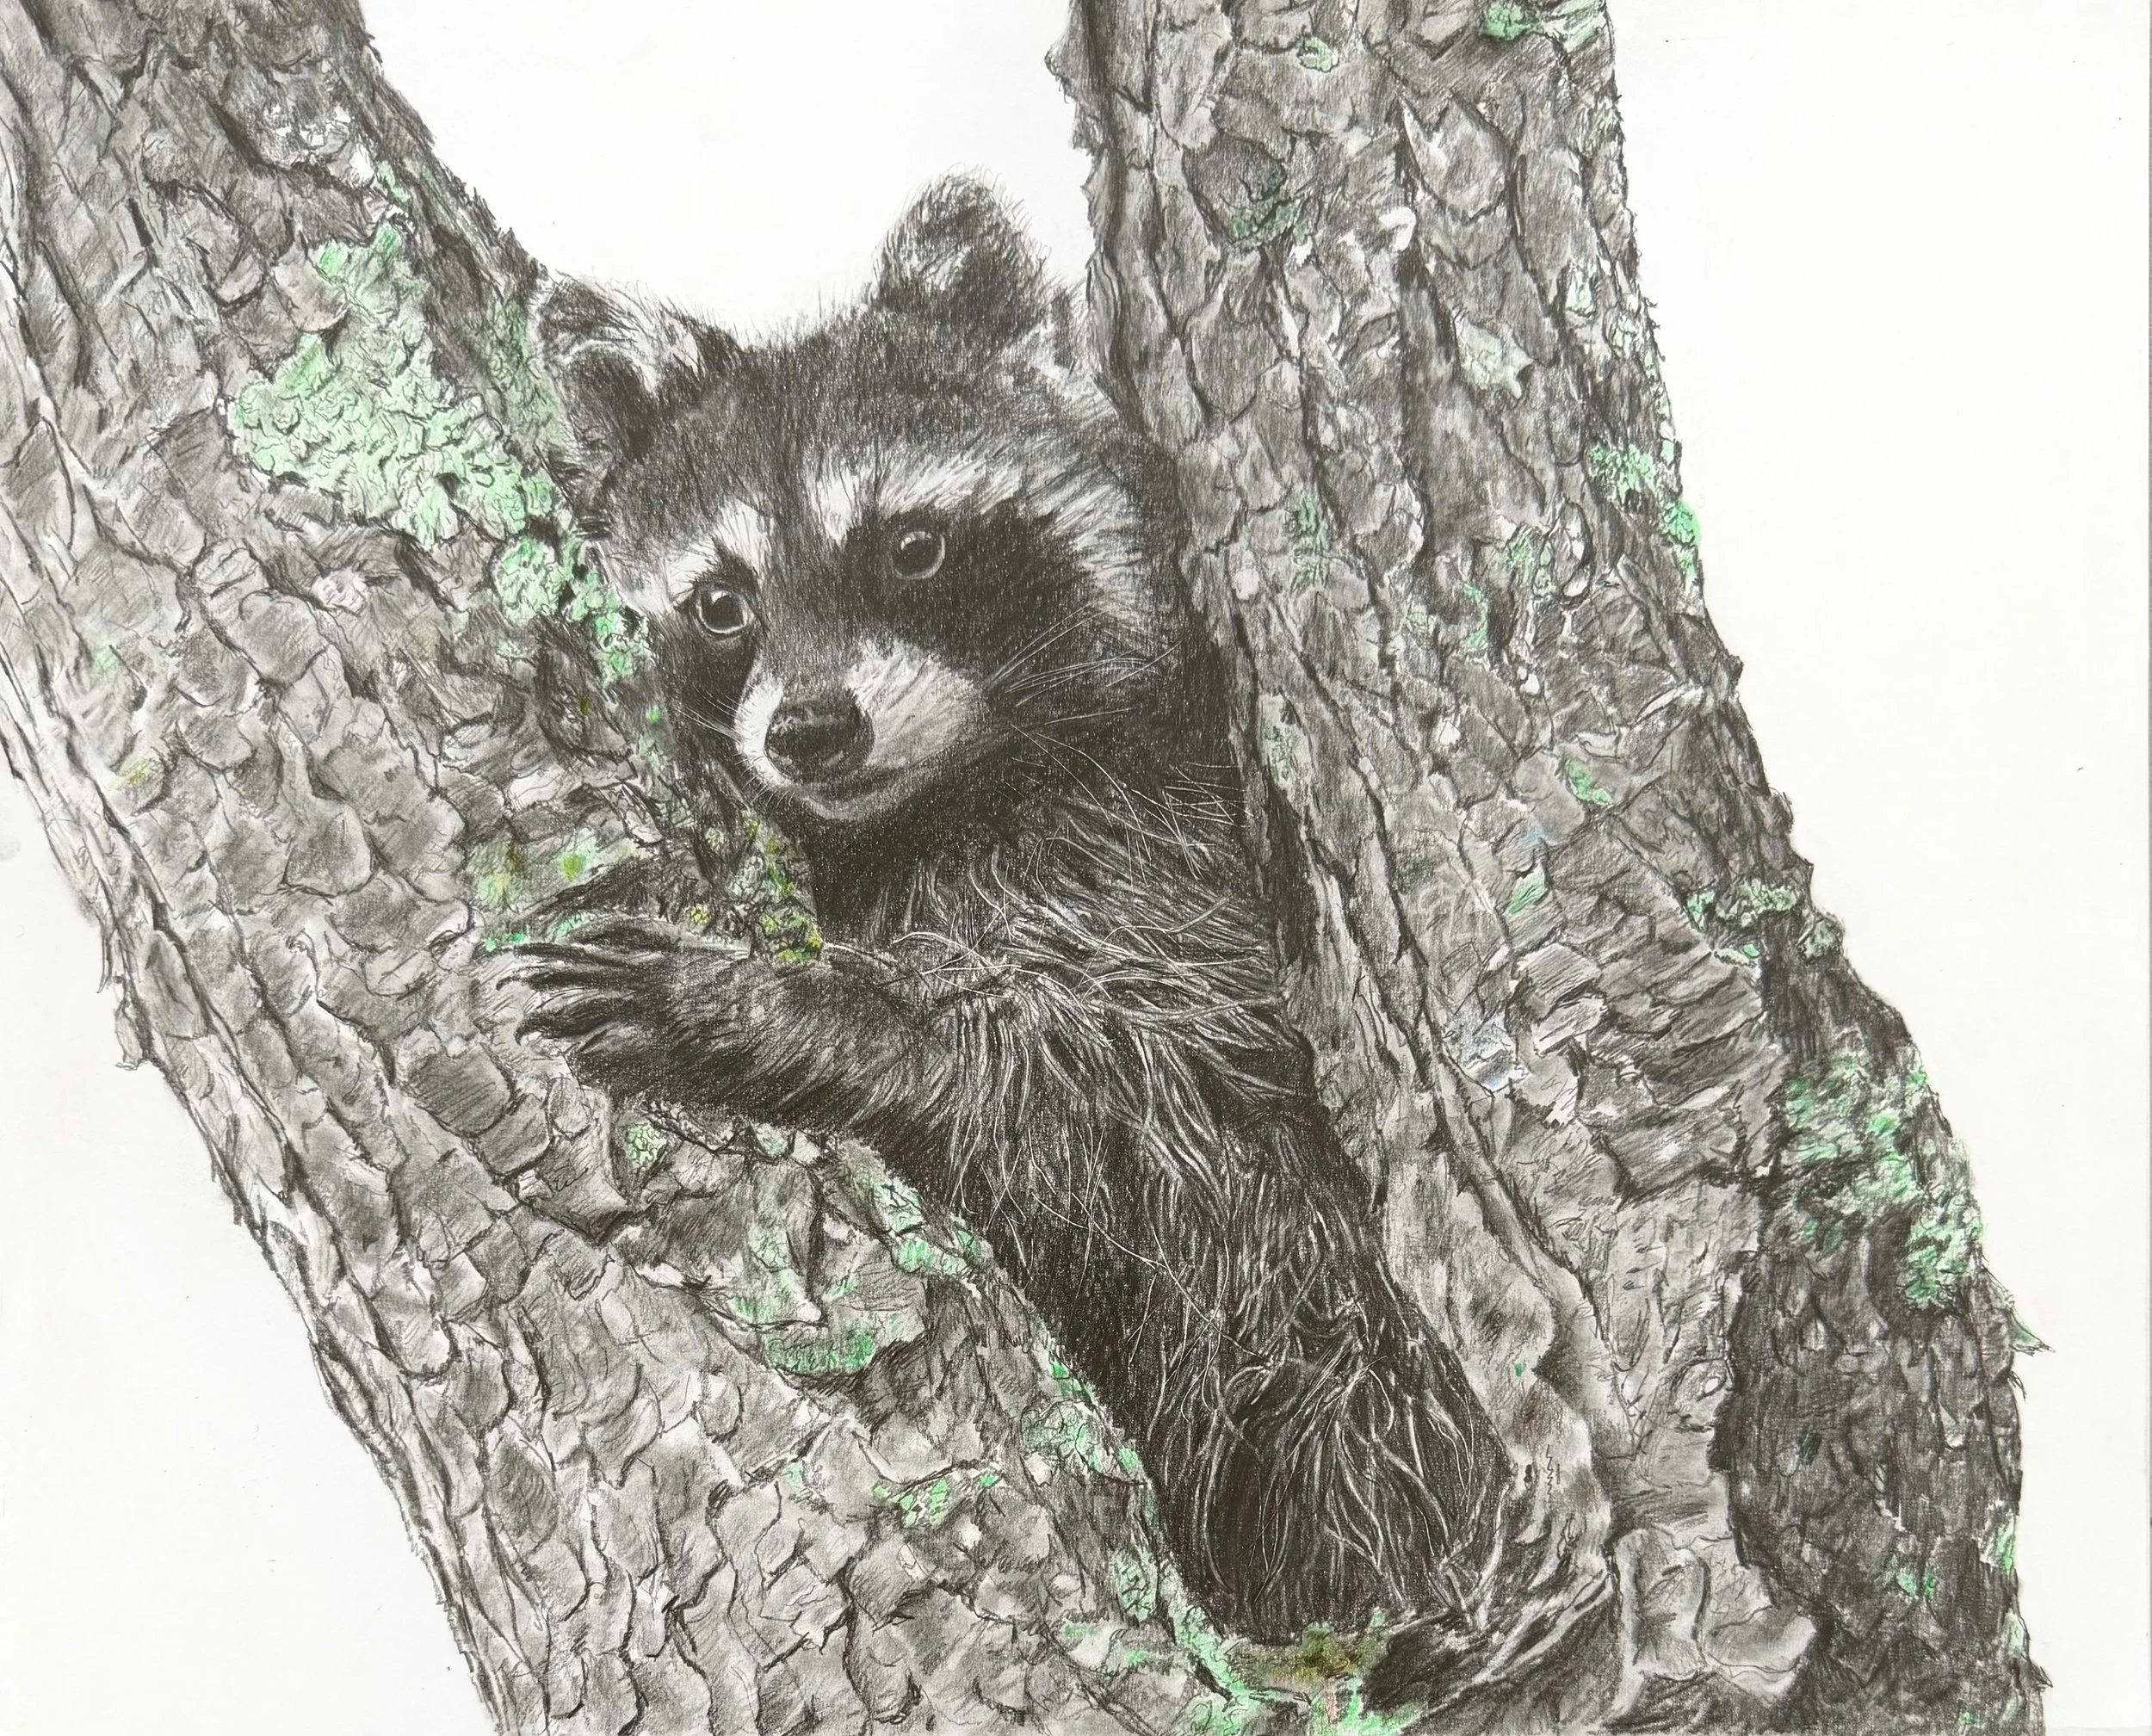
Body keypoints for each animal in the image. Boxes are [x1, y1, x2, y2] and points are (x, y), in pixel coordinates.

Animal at [514, 178, 1506, 1672]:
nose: (812, 731)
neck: (930, 803)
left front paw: (781, 1012)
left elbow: (1120, 1100)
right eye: (722, 602)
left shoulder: (1168, 865)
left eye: (912, 546)